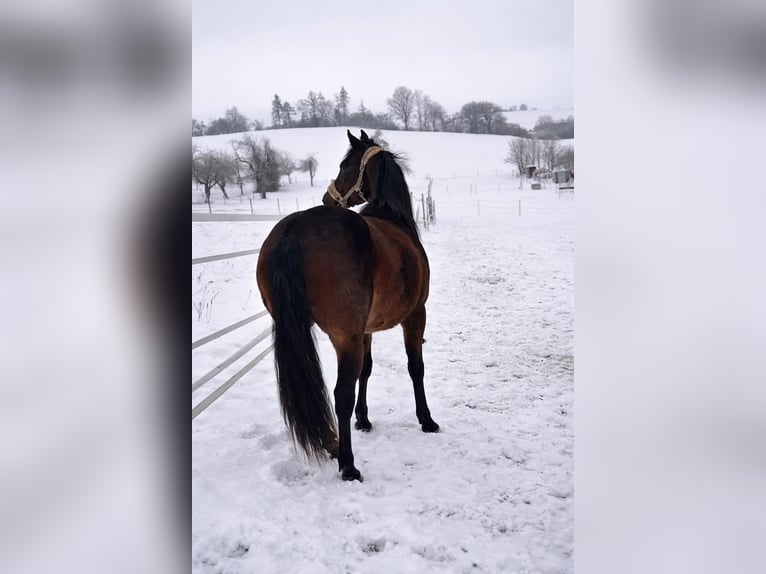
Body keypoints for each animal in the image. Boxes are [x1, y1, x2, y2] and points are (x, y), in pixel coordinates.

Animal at [255, 129, 439, 482]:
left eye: (345, 166)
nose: (328, 198)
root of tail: (293, 232)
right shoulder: (415, 315)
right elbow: (416, 367)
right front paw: (427, 420)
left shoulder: (366, 329)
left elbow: (367, 370)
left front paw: (364, 419)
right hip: (344, 337)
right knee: (341, 393)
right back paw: (348, 464)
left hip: (301, 330)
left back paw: (332, 444)